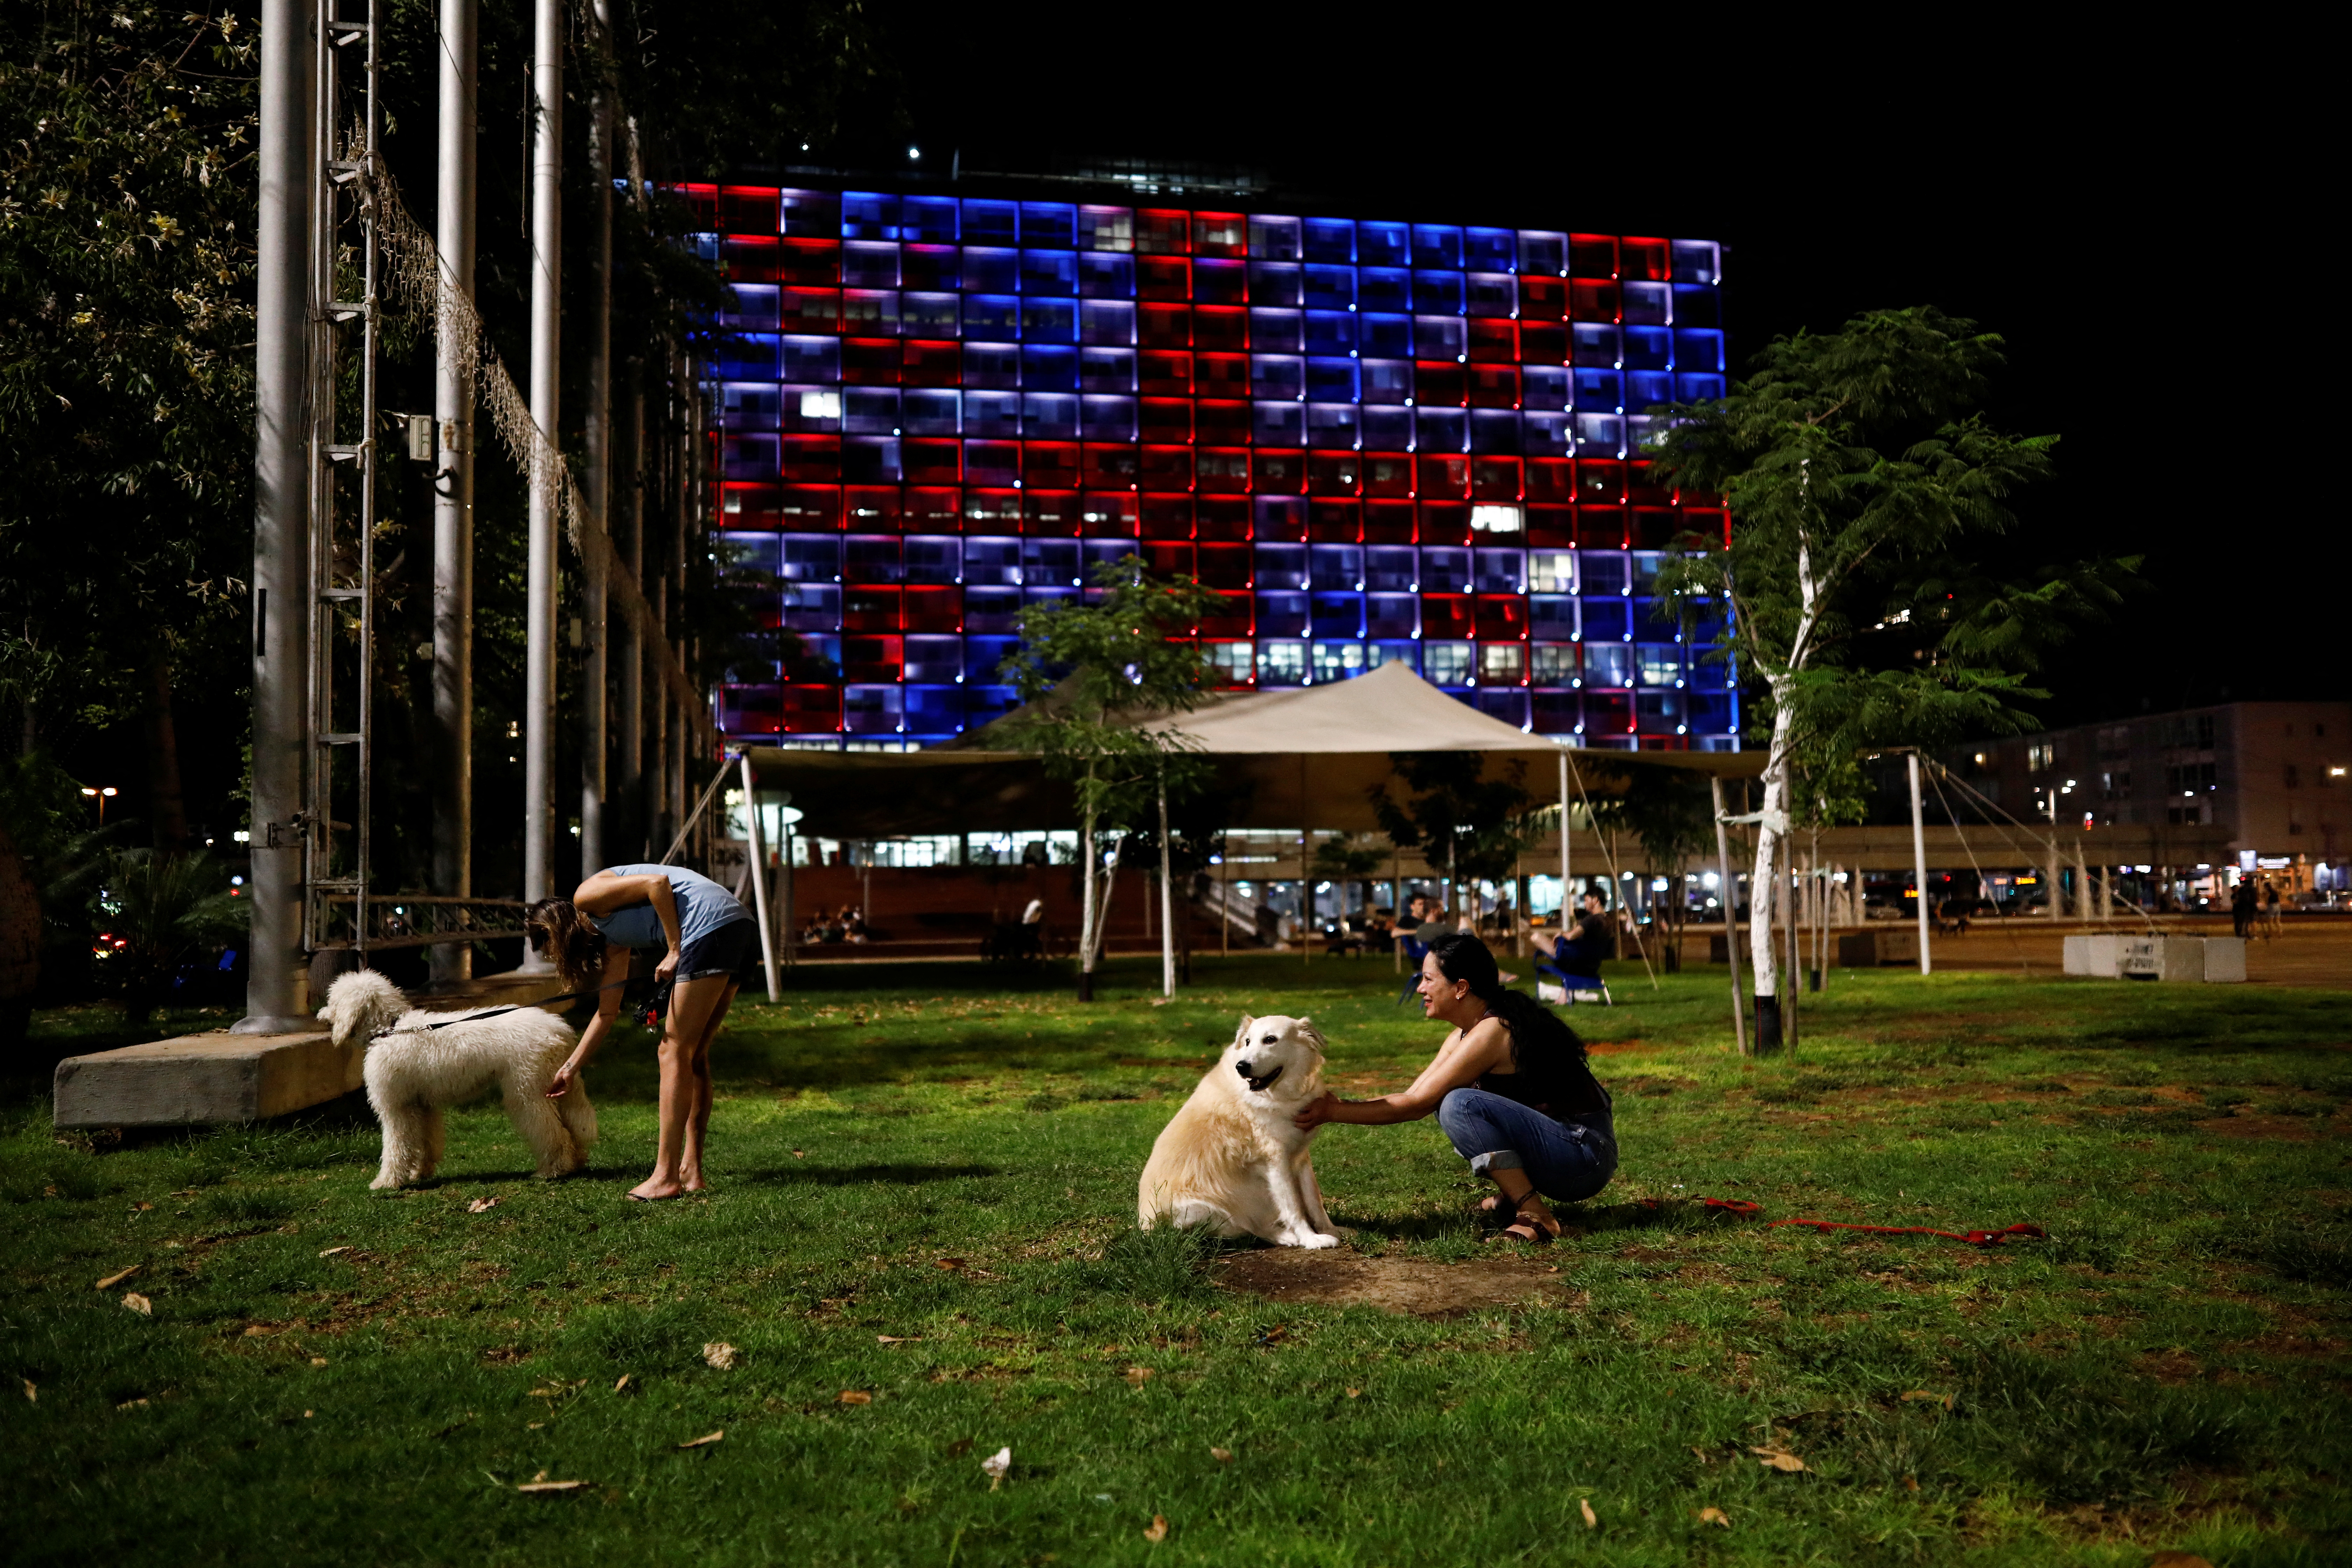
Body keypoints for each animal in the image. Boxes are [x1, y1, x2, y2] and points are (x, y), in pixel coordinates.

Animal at [320, 968, 597, 1189]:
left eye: (333, 1001)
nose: (321, 1015)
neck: (391, 1029)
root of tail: (559, 1029)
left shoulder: (397, 1108)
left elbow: (396, 1147)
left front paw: (387, 1182)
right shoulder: (422, 1105)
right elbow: (426, 1142)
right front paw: (420, 1173)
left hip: (528, 1092)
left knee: (552, 1132)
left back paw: (553, 1170)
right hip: (556, 1086)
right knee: (573, 1127)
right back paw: (576, 1163)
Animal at [1138, 1020, 1345, 1251]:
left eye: (1270, 1040)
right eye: (1247, 1041)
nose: (1242, 1067)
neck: (1279, 1095)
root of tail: (1143, 1226)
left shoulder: (1300, 1156)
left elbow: (1314, 1201)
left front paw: (1331, 1231)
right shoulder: (1277, 1161)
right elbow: (1294, 1207)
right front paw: (1310, 1239)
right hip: (1207, 1210)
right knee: (1252, 1229)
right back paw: (1287, 1237)